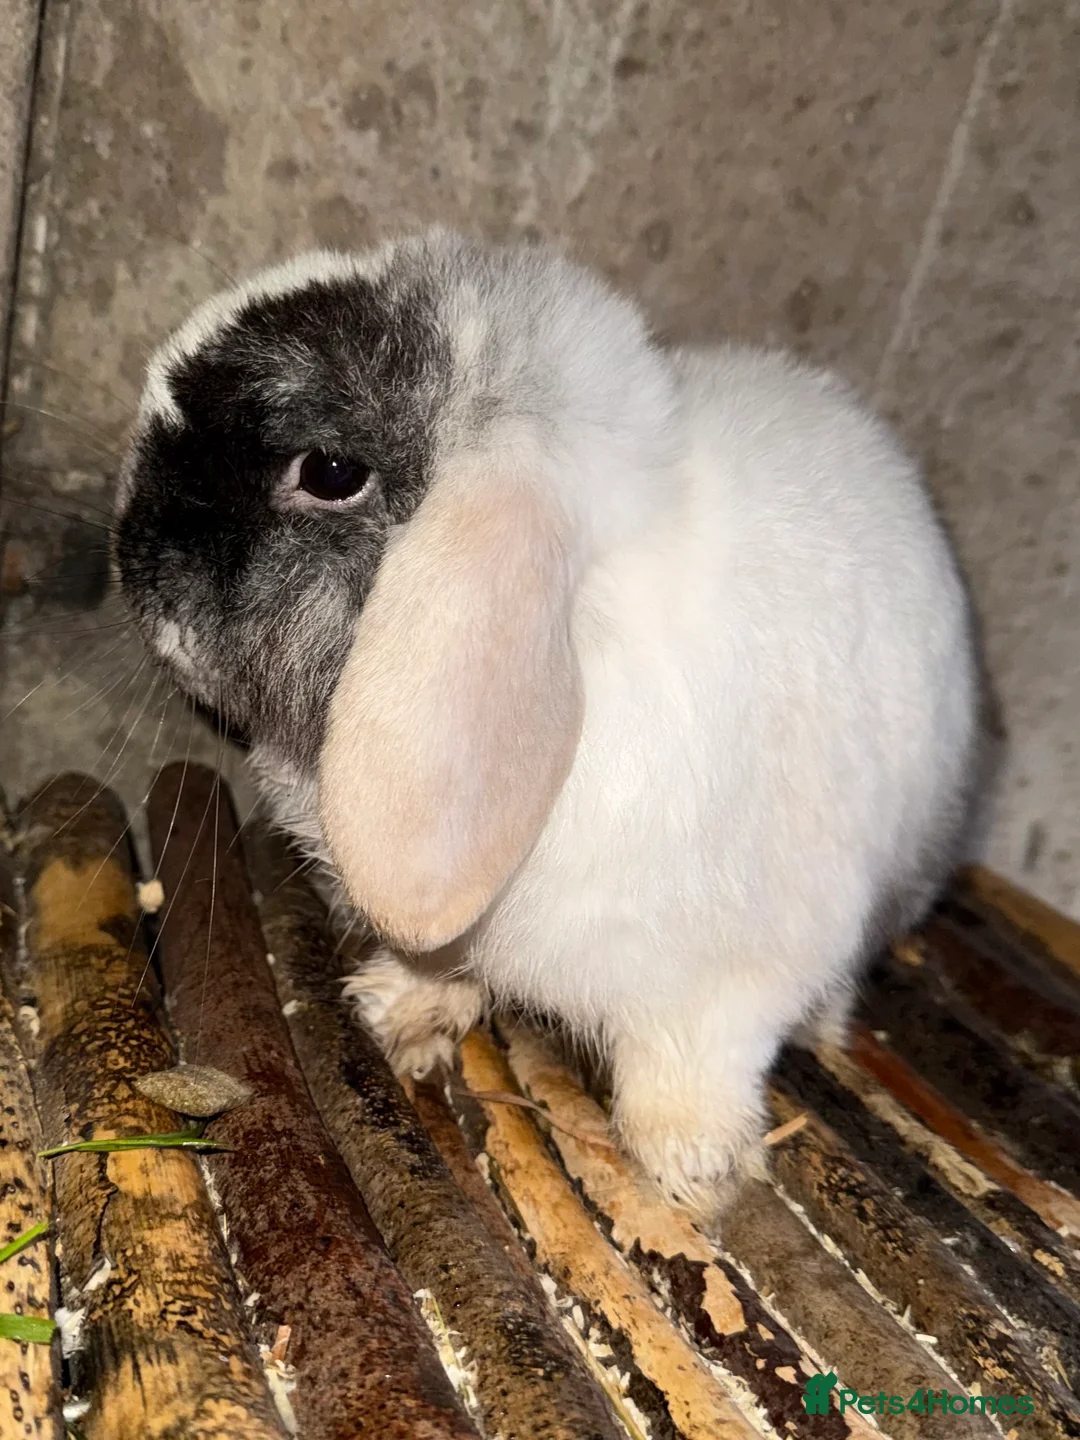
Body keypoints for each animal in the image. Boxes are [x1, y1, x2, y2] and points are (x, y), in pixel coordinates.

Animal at [114, 228, 980, 1219]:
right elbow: (446, 966)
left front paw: (691, 1168)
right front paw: (392, 1004)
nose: (128, 556)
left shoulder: (741, 973)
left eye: (330, 473)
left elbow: (693, 1060)